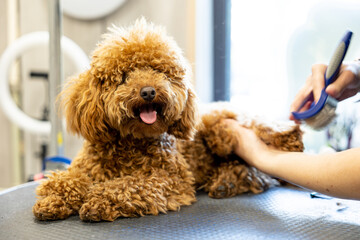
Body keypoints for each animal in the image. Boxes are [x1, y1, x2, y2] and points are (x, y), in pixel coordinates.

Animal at [33, 18, 304, 221]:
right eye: (124, 76)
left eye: (159, 71)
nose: (148, 92)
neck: (128, 144)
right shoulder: (85, 167)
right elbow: (66, 179)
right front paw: (53, 199)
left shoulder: (172, 179)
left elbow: (129, 185)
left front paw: (98, 199)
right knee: (255, 172)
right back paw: (224, 182)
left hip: (221, 128)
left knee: (260, 138)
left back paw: (288, 137)